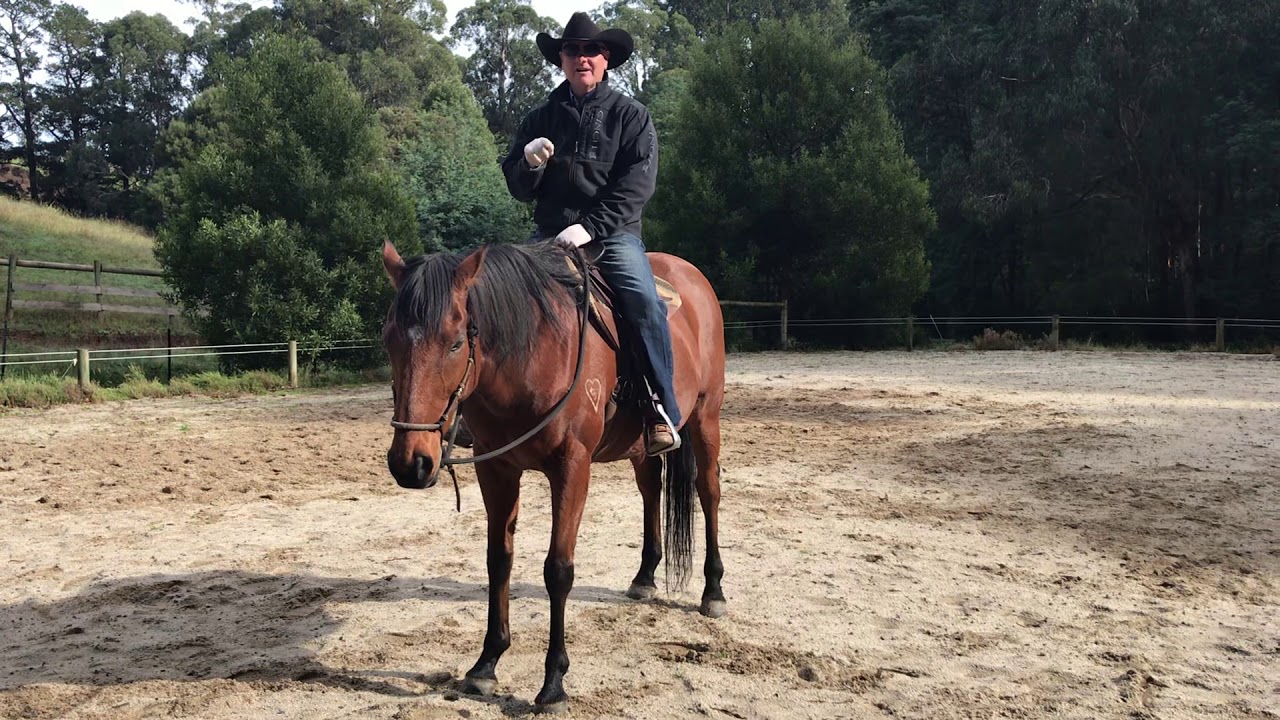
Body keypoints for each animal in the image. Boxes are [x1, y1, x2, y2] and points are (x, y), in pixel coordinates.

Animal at [379, 239, 727, 713]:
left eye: (454, 343)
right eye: (389, 338)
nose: (410, 463)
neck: (532, 355)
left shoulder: (571, 466)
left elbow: (558, 570)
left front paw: (553, 683)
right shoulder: (495, 467)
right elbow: (498, 560)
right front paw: (486, 664)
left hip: (706, 419)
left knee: (708, 493)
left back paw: (714, 590)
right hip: (641, 447)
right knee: (650, 489)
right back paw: (644, 577)